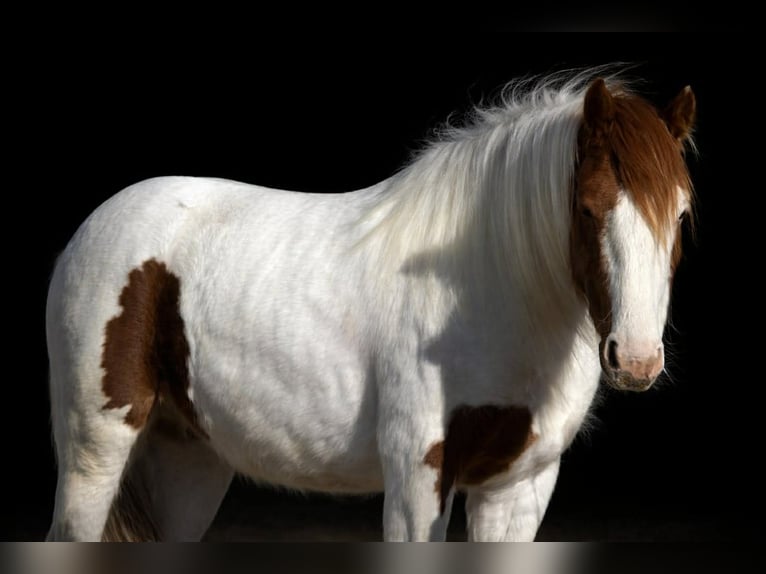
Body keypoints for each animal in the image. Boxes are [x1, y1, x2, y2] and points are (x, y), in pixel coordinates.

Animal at [45, 68, 696, 541]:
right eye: (587, 208)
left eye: (682, 216)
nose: (636, 360)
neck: (489, 289)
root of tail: (92, 227)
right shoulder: (418, 476)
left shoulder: (519, 486)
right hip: (95, 451)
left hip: (186, 454)